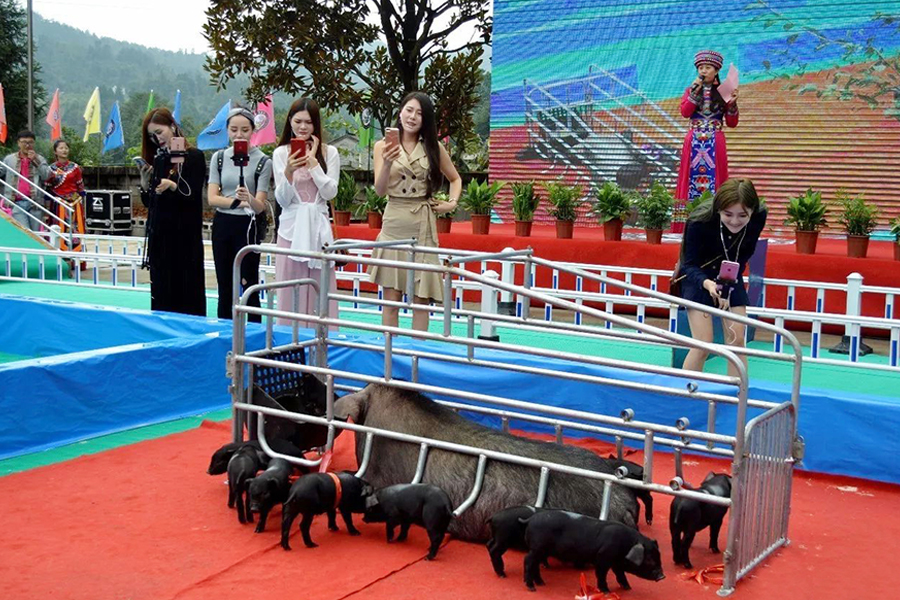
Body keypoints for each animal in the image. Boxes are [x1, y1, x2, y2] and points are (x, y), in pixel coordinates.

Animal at [521, 510, 665, 593]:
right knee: (528, 561)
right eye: (649, 559)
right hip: (537, 548)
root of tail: (531, 519)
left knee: (535, 565)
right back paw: (532, 588)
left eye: (659, 556)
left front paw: (628, 588)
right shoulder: (603, 558)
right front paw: (606, 591)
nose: (662, 576)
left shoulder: (616, 562)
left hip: (541, 550)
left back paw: (541, 583)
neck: (626, 545)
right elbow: (601, 575)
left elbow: (620, 574)